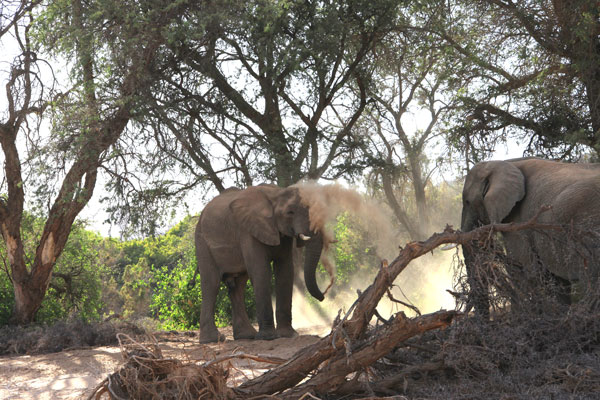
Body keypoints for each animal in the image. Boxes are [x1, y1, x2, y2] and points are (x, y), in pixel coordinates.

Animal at [196, 184, 326, 344]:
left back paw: (246, 336)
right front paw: (268, 338)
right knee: (211, 284)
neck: (275, 194)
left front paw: (288, 335)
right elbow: (260, 270)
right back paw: (212, 339)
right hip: (202, 242)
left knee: (238, 286)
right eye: (290, 212)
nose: (323, 297)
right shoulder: (248, 231)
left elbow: (285, 270)